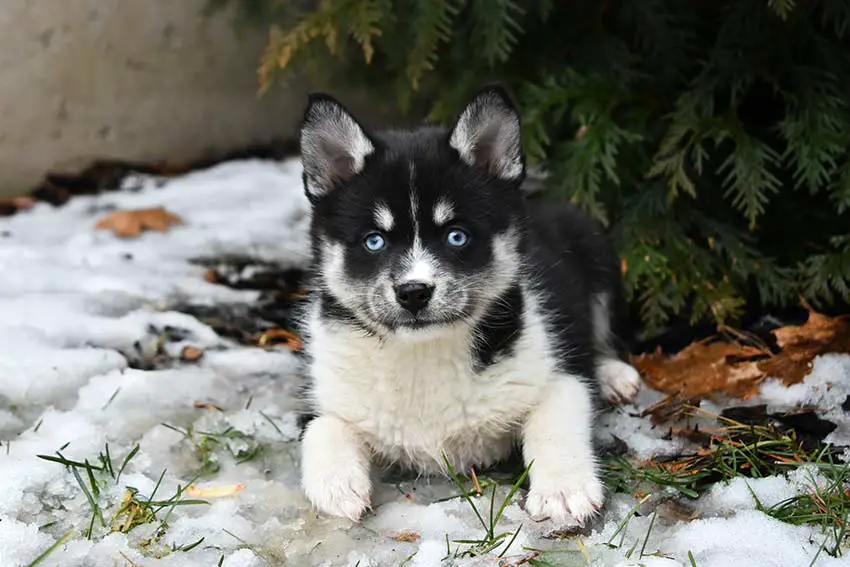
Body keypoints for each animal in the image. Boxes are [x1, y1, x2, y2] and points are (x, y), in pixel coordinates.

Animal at [294, 85, 640, 528]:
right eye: (374, 240)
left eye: (456, 236)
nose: (414, 292)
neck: (423, 352)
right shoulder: (323, 393)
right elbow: (321, 429)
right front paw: (336, 487)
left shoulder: (558, 373)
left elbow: (553, 424)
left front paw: (564, 490)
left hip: (597, 251)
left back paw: (613, 375)